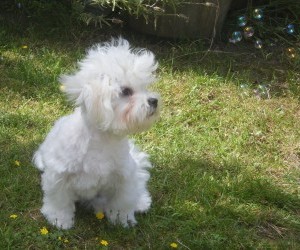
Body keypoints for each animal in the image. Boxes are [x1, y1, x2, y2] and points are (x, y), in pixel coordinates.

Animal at [32, 38, 159, 229]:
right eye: (126, 91)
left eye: (144, 88)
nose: (154, 100)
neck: (102, 140)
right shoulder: (59, 176)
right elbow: (59, 200)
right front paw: (59, 219)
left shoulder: (124, 177)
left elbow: (123, 201)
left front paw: (122, 219)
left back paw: (141, 202)